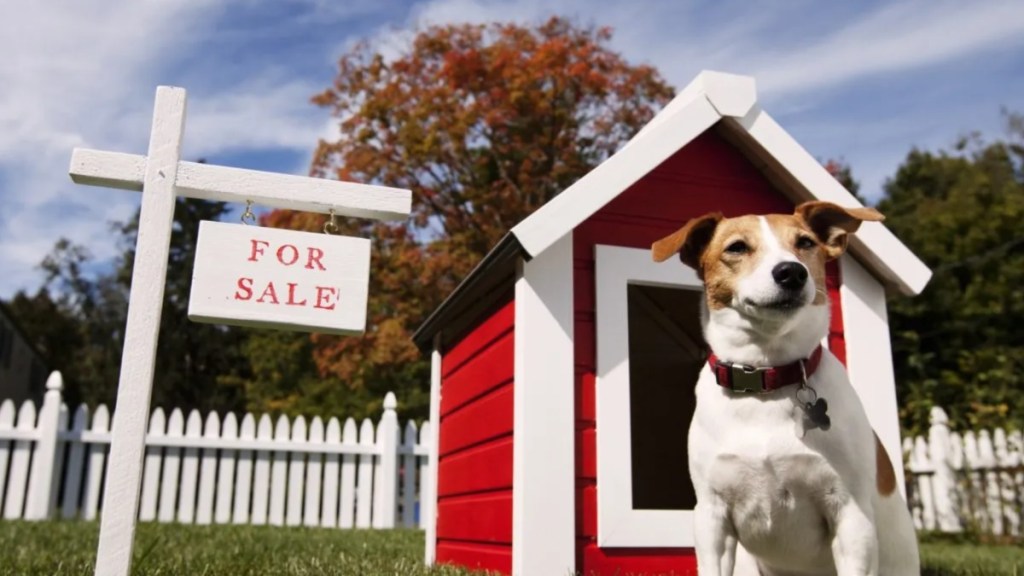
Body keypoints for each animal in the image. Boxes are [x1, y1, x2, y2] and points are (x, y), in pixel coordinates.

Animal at [651, 201, 925, 573]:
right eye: (737, 247)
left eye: (806, 242)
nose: (792, 272)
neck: (766, 377)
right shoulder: (711, 516)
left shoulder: (850, 513)